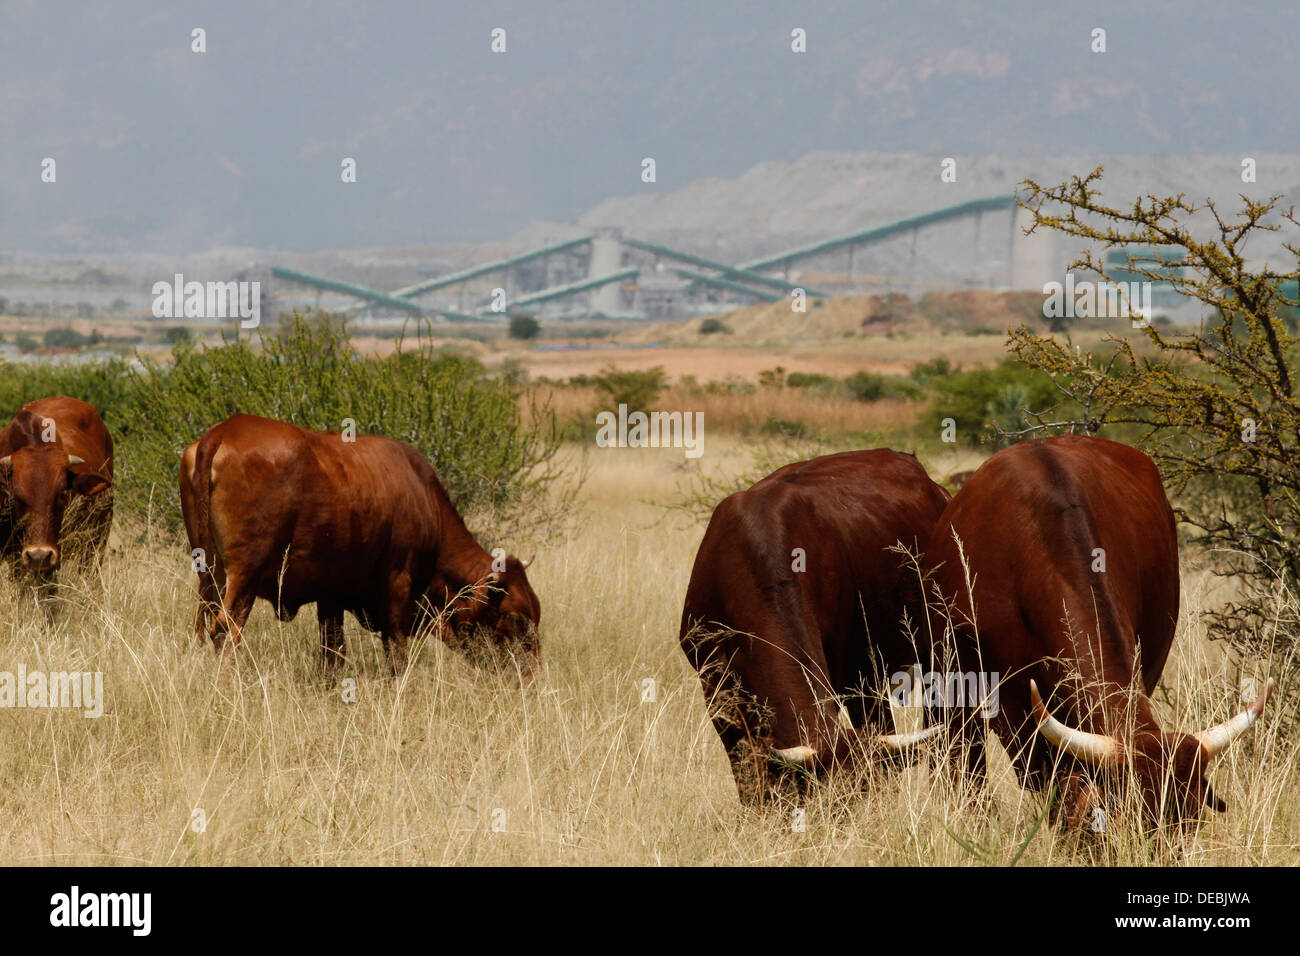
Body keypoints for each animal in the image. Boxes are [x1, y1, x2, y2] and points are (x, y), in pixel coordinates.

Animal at [179, 416, 538, 676]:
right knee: (225, 629)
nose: (529, 676)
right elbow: (396, 654)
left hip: (209, 575)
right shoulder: (397, 587)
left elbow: (332, 654)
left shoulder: (331, 597)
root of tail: (223, 431)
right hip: (244, 580)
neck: (424, 499)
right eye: (516, 618)